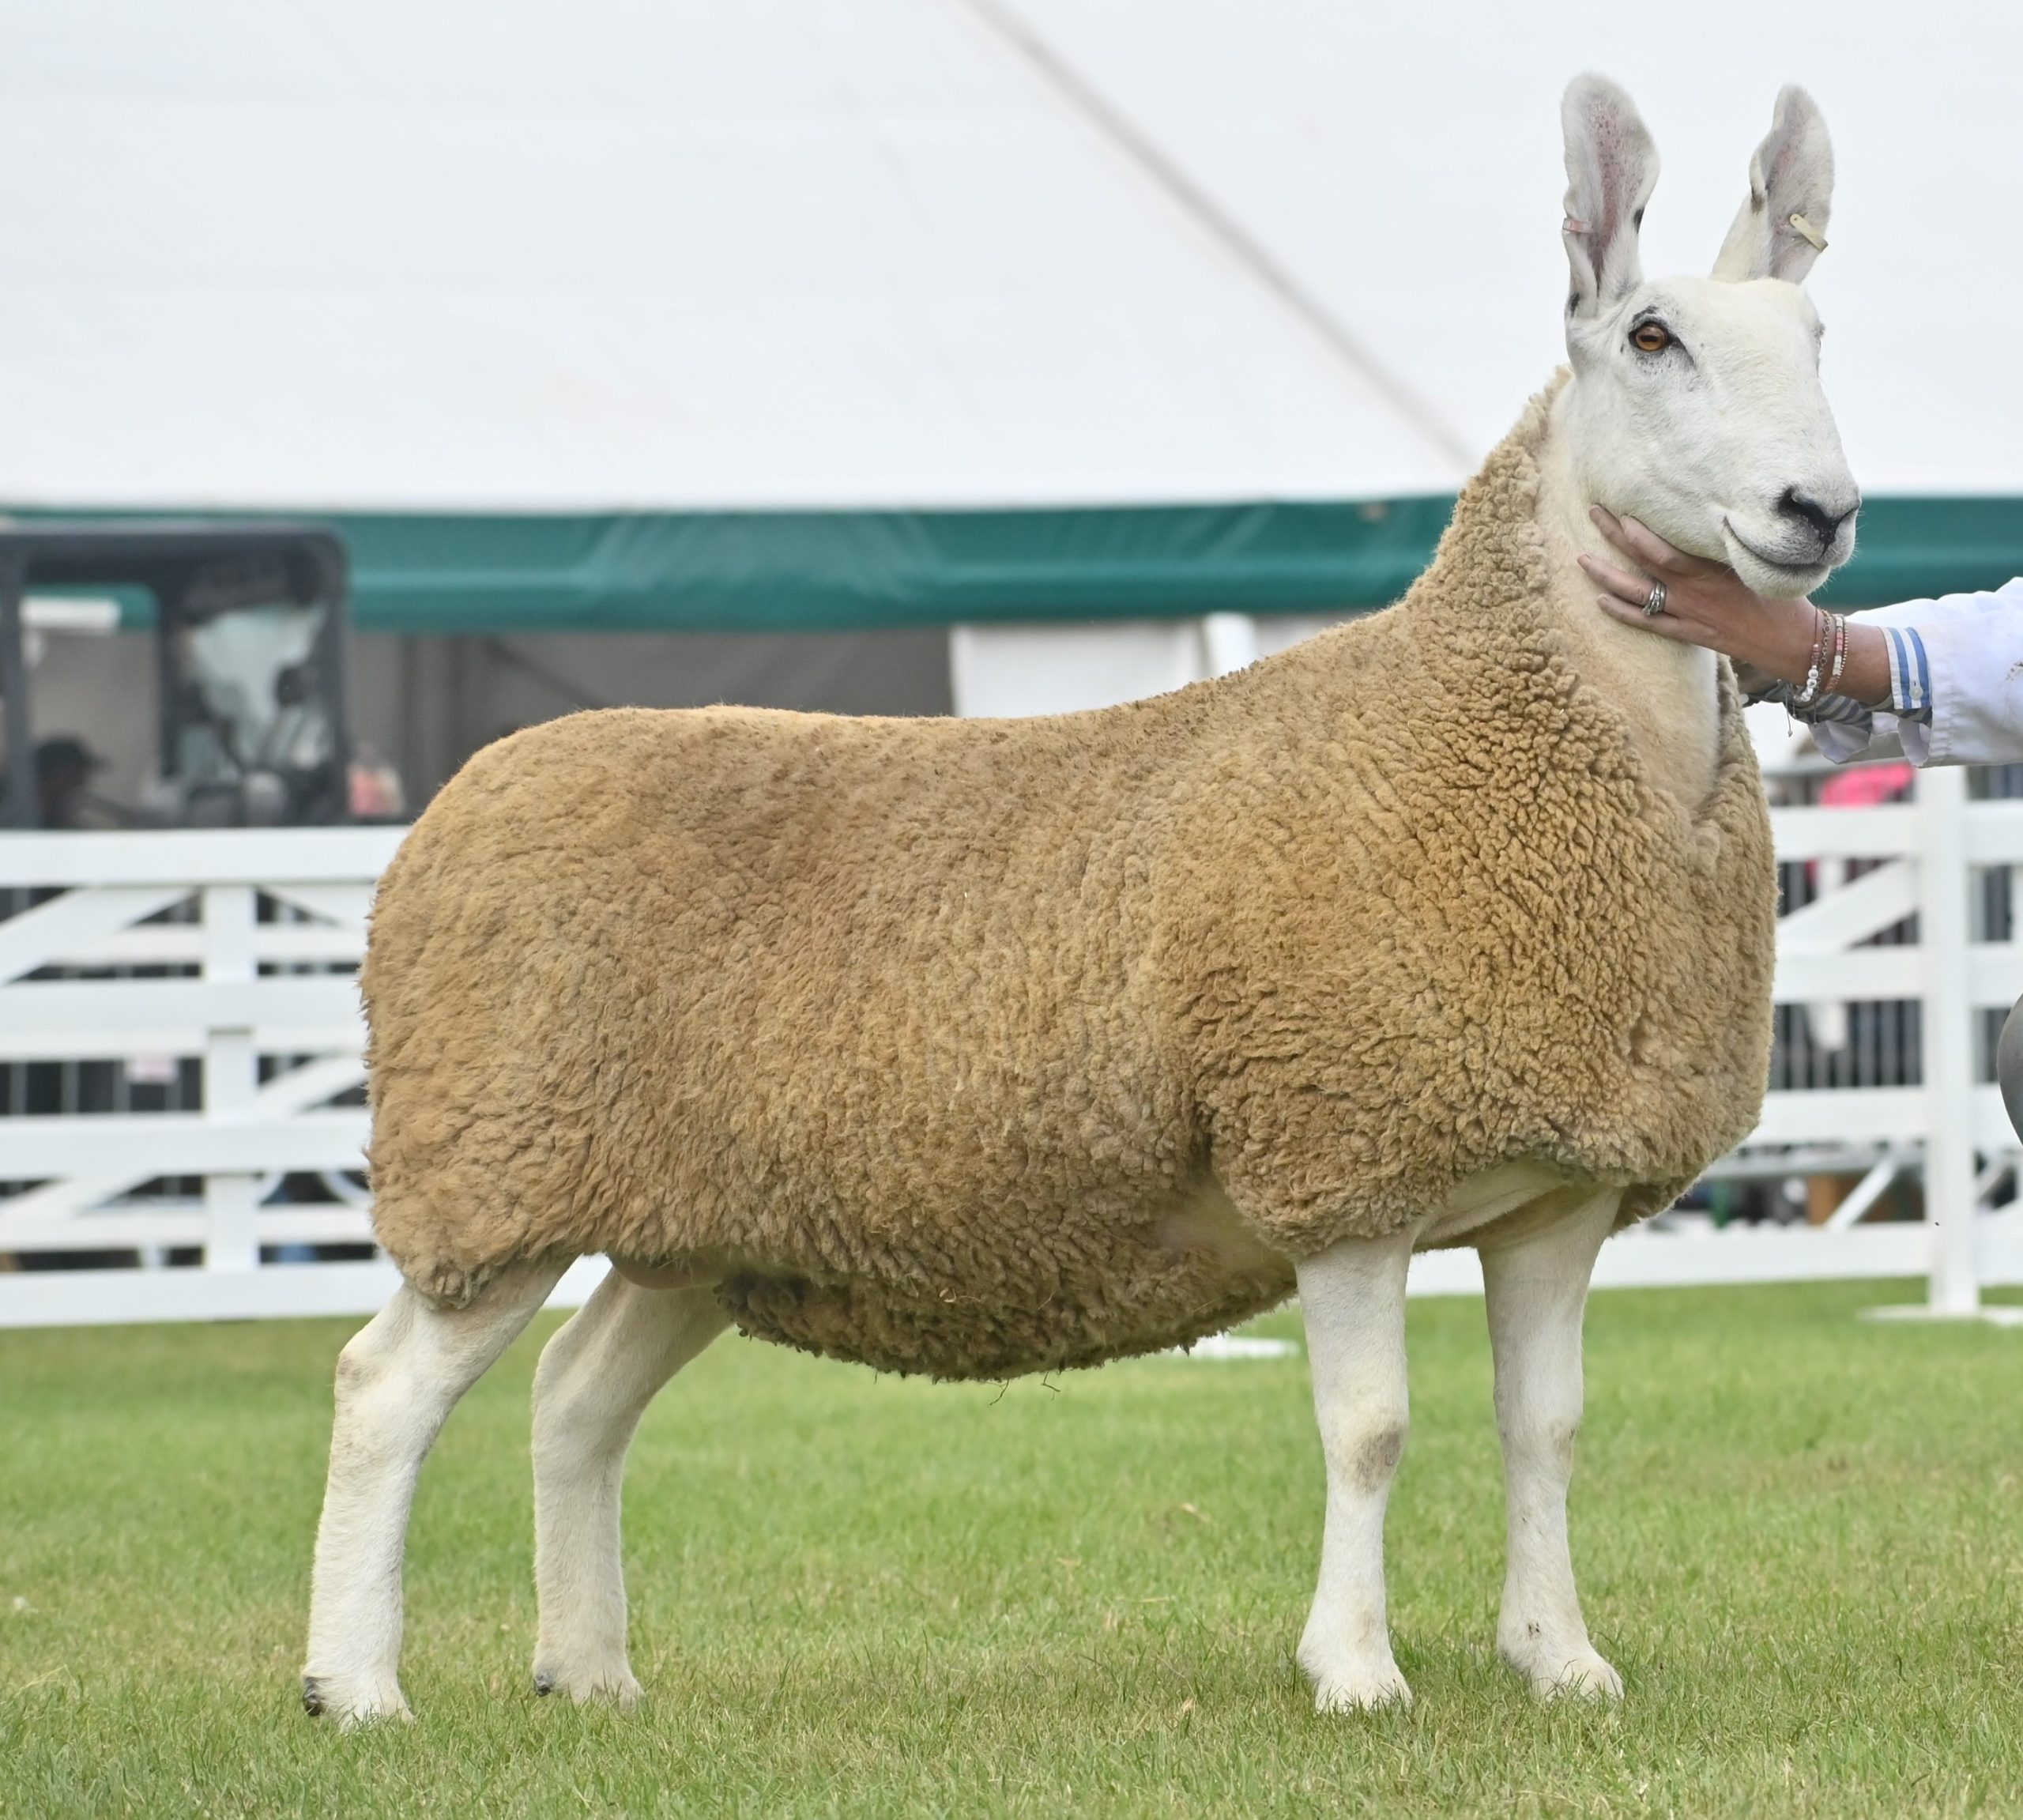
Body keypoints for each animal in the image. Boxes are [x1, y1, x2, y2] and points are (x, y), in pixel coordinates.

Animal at [303, 78, 1861, 1731]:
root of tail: (455, 807)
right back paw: (357, 1683)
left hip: (693, 1215)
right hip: (498, 1160)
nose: (1818, 511)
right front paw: (1356, 1668)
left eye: (1818, 335)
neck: (1502, 737)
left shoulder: (1559, 1187)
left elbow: (1546, 1428)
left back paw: (588, 1668)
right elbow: (1371, 1430)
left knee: (575, 1397)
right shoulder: (1339, 1155)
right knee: (386, 1387)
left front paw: (1559, 1657)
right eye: (1651, 336)